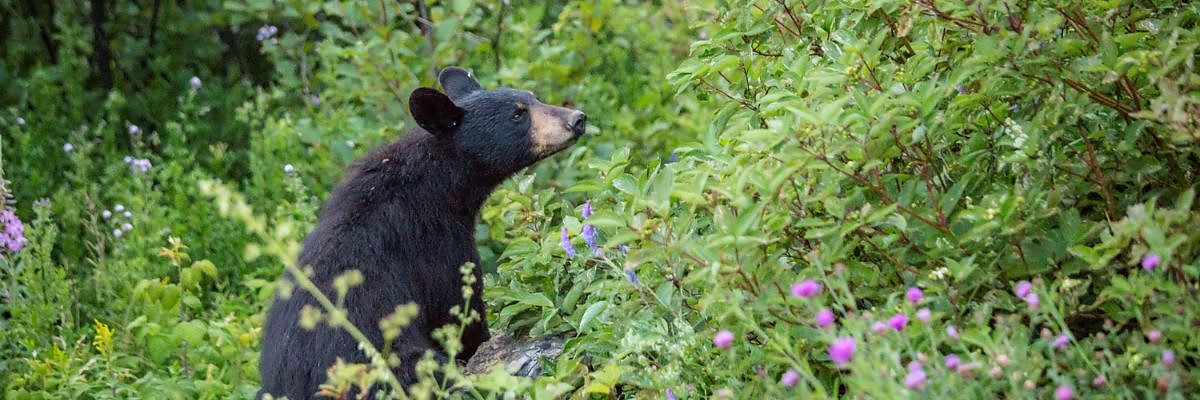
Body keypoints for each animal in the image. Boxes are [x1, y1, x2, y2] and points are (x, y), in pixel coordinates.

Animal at [257, 66, 586, 399]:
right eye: (518, 115)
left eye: (534, 98)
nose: (577, 118)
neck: (437, 185)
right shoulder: (436, 242)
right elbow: (457, 306)